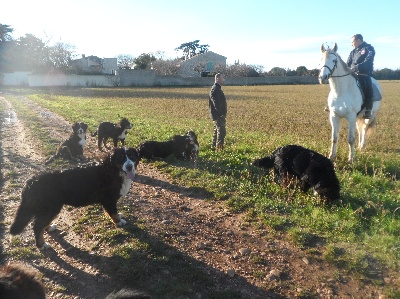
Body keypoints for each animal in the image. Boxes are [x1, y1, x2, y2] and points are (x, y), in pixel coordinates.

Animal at [10, 146, 140, 250]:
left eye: (132, 156)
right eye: (121, 158)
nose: (129, 166)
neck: (112, 170)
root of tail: (32, 181)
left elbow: (111, 212)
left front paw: (117, 216)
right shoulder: (109, 200)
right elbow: (113, 213)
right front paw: (119, 221)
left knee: (40, 224)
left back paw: (49, 228)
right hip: (51, 208)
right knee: (37, 227)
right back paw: (41, 245)